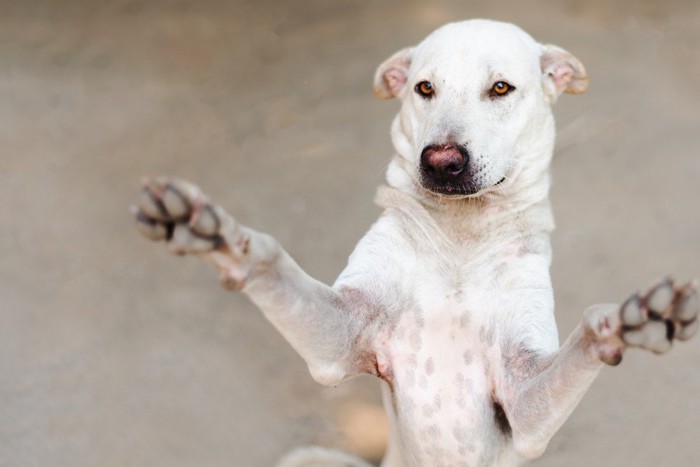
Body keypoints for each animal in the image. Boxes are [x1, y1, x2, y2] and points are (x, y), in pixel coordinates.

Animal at [134, 19, 696, 467]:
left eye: (501, 88)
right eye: (424, 87)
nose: (441, 161)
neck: (461, 241)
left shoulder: (525, 405)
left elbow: (583, 342)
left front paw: (634, 319)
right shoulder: (340, 340)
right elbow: (272, 260)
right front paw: (213, 232)